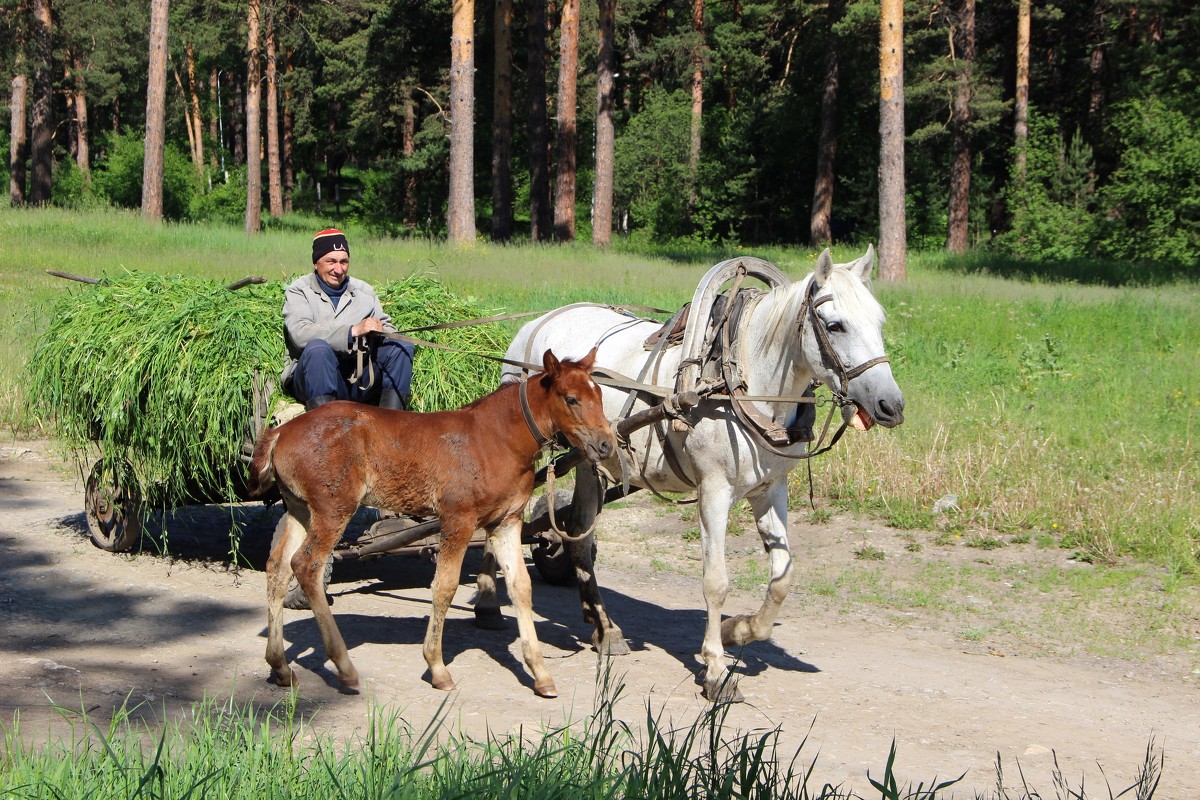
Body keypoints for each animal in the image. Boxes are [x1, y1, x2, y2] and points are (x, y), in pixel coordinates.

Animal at [247, 347, 614, 695]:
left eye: (600, 395)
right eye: (571, 398)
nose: (606, 444)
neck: (497, 440)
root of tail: (281, 431)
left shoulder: (506, 522)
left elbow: (520, 586)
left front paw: (541, 674)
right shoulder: (458, 519)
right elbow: (445, 587)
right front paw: (437, 668)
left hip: (301, 510)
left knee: (278, 567)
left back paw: (280, 667)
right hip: (333, 508)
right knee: (307, 565)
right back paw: (344, 666)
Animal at [494, 248, 902, 700]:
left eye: (879, 321)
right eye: (835, 325)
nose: (891, 405)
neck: (741, 382)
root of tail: (535, 325)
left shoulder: (771, 489)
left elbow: (782, 576)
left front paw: (738, 630)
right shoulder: (714, 491)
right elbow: (716, 582)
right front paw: (716, 670)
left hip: (588, 459)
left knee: (580, 535)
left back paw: (604, 628)